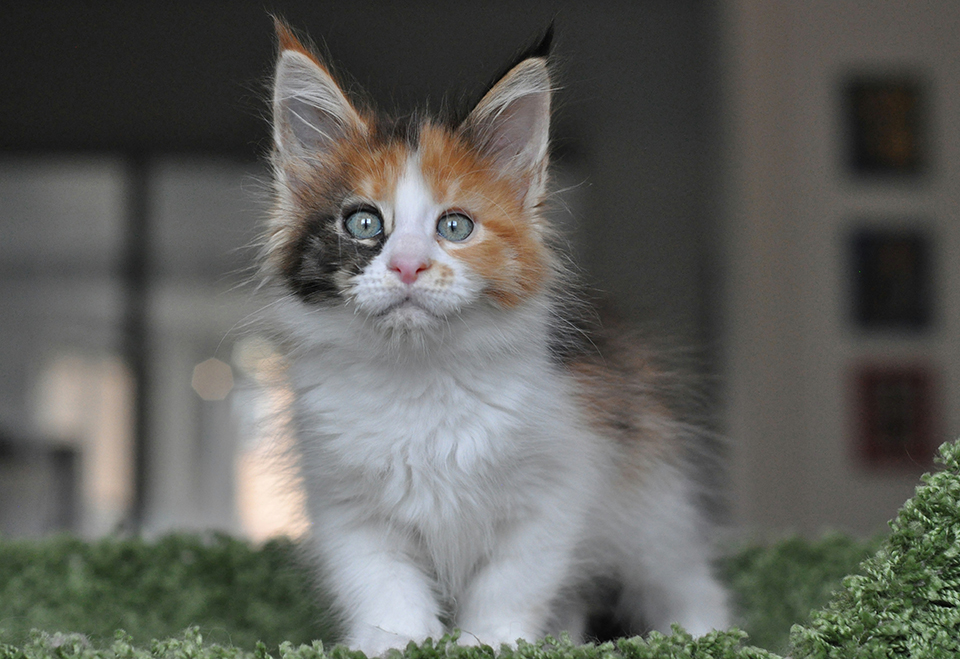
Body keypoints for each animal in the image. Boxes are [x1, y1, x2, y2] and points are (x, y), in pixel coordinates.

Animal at [262, 19, 728, 656]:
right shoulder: (348, 504)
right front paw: (393, 641)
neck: (420, 377)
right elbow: (383, 585)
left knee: (686, 582)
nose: (407, 265)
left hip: (653, 499)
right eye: (363, 223)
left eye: (455, 226)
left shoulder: (557, 484)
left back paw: (705, 633)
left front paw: (488, 641)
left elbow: (512, 583)